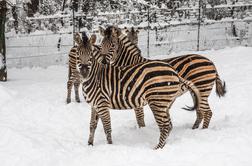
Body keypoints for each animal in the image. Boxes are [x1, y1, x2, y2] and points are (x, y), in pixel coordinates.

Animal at [98, 26, 226, 130]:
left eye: (113, 45)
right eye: (101, 45)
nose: (103, 62)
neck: (130, 63)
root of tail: (211, 62)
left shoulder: (135, 95)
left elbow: (140, 117)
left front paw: (142, 131)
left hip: (202, 88)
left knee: (208, 112)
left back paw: (203, 131)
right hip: (196, 92)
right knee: (200, 111)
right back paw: (193, 129)